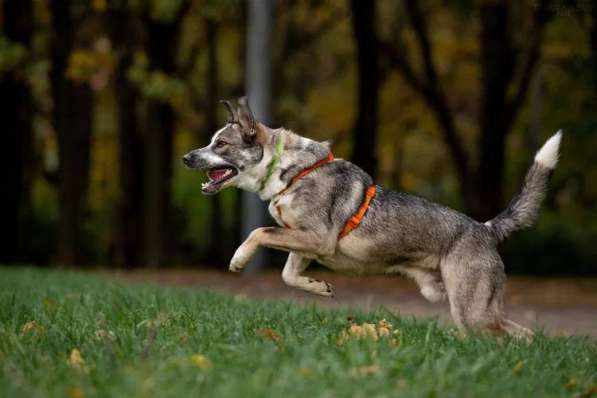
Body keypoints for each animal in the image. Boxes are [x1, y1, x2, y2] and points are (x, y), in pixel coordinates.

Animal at [183, 97, 564, 338]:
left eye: (220, 144)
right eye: (211, 142)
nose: (186, 158)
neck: (290, 171)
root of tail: (486, 229)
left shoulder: (317, 238)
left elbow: (259, 231)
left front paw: (238, 259)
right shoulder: (306, 243)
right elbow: (288, 275)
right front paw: (319, 287)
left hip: (471, 311)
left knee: (511, 334)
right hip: (460, 303)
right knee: (522, 334)